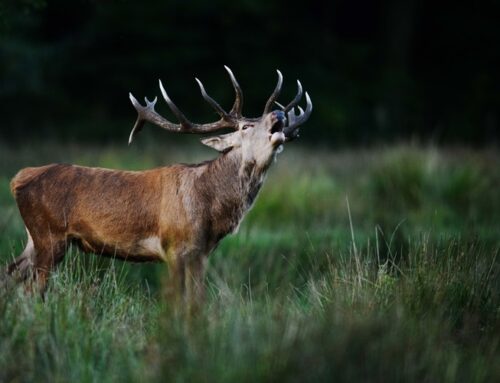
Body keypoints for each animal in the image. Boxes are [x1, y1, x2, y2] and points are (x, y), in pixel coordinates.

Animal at [3, 68, 310, 308]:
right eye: (246, 126)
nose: (278, 115)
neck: (210, 206)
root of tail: (17, 178)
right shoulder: (174, 245)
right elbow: (178, 301)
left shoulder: (201, 252)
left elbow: (197, 302)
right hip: (50, 234)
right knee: (33, 289)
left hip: (35, 238)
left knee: (9, 273)